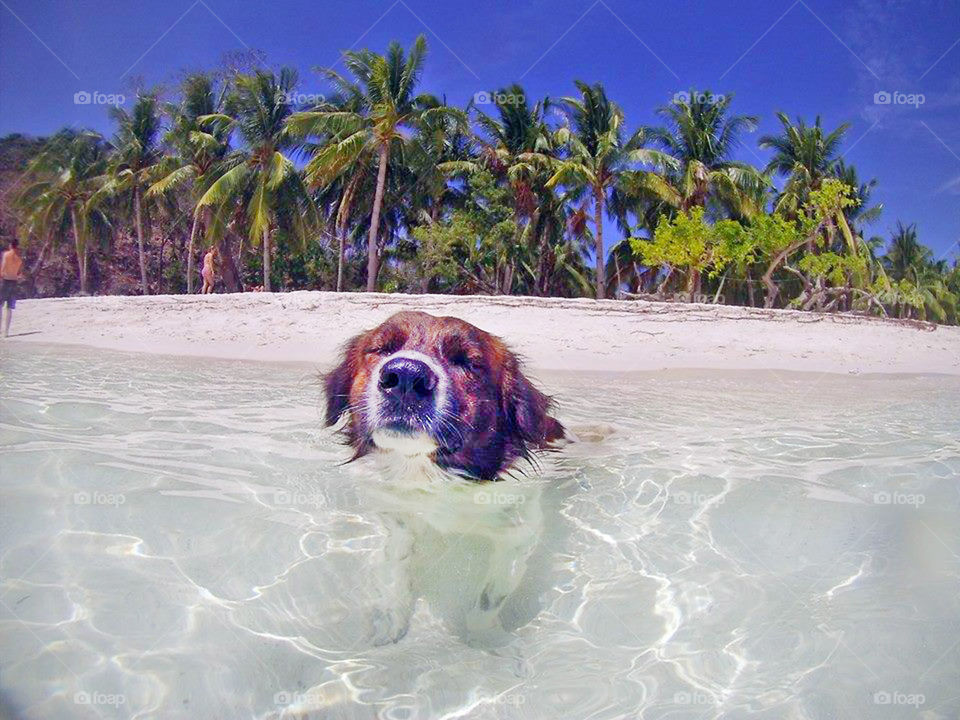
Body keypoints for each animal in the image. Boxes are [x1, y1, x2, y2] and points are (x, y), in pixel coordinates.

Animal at [324, 312, 564, 644]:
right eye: (383, 349)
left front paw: (485, 639)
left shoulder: (518, 535)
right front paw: (391, 617)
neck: (430, 477)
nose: (406, 376)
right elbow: (397, 570)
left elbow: (489, 599)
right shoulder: (396, 519)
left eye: (466, 361)